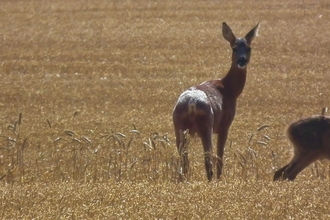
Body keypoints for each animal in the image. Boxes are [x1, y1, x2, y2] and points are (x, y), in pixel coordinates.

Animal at [173, 21, 260, 180]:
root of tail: (191, 103)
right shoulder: (225, 125)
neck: (229, 89)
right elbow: (220, 157)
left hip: (179, 125)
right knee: (208, 159)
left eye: (249, 48)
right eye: (234, 48)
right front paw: (220, 179)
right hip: (206, 124)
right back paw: (211, 180)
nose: (242, 60)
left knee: (184, 160)